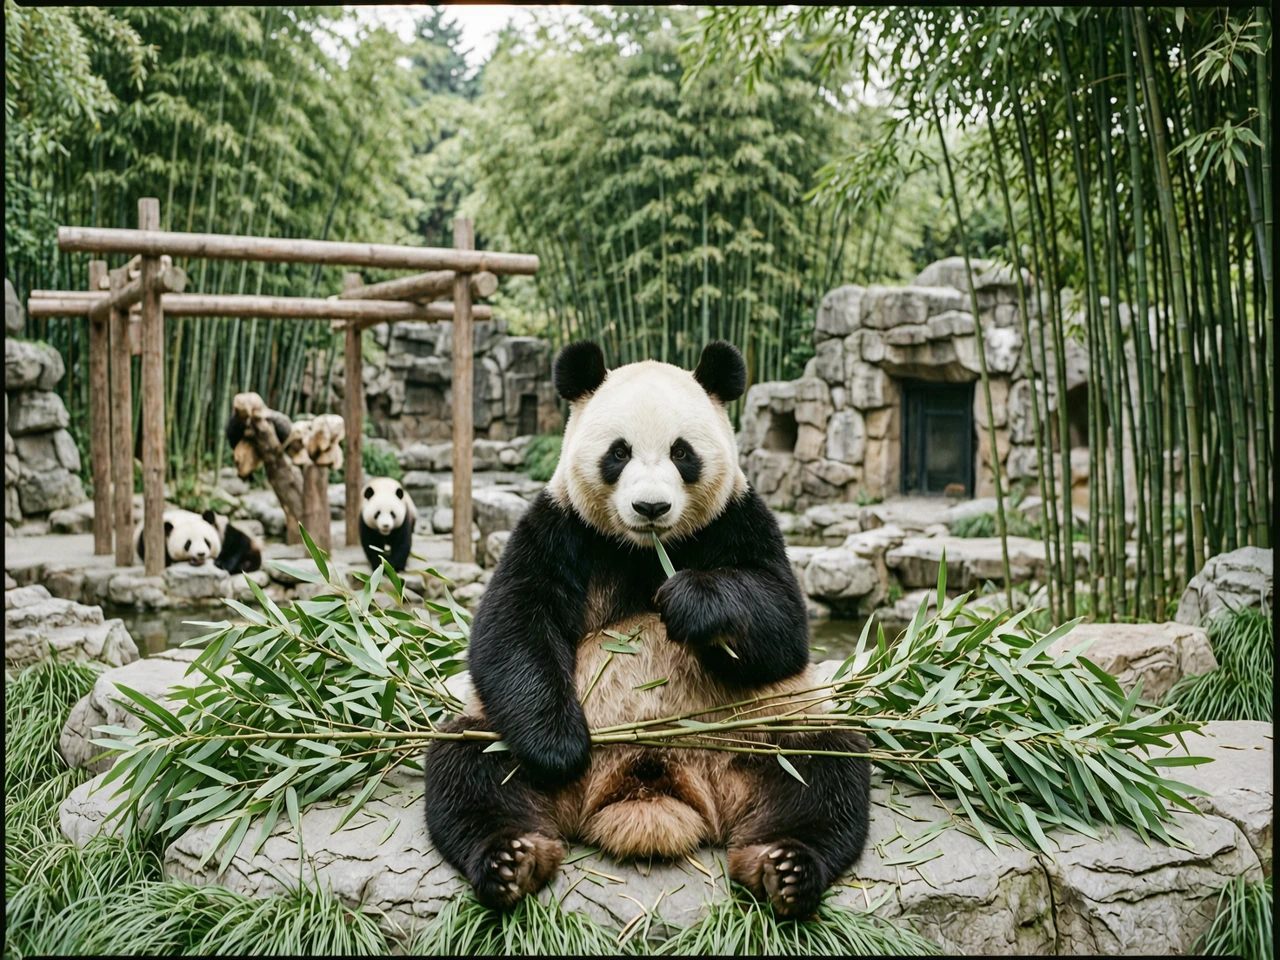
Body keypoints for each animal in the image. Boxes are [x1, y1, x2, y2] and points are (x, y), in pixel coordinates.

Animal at [424, 341, 870, 918]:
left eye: (683, 453)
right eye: (619, 453)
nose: (651, 507)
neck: (641, 549)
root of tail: (654, 787)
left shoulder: (738, 518)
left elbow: (784, 623)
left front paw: (690, 602)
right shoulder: (560, 526)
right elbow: (512, 624)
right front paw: (559, 748)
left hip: (765, 729)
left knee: (824, 769)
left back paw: (784, 867)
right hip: (495, 735)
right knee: (469, 769)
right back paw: (512, 859)